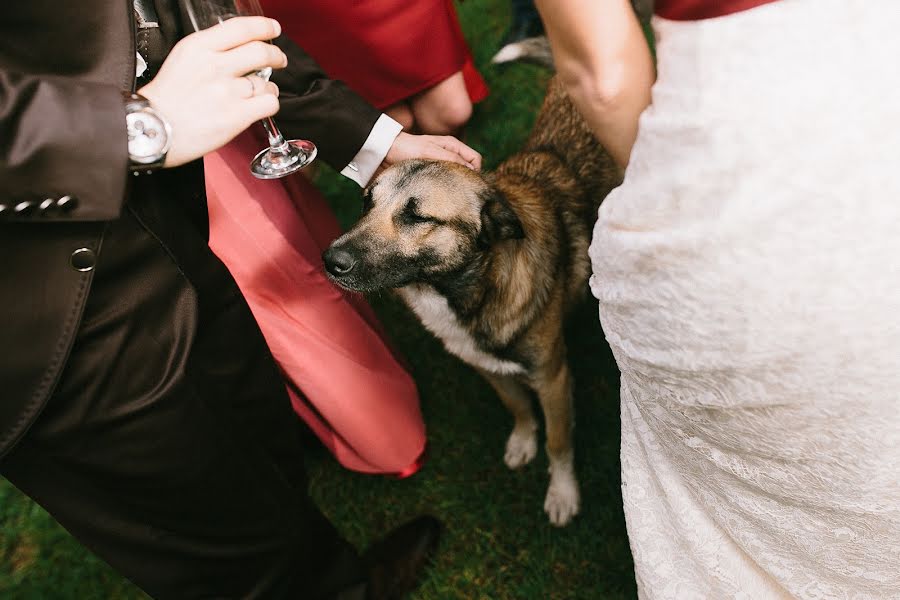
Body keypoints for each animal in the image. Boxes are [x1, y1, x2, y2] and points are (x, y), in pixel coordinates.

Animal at [324, 78, 624, 524]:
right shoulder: (486, 367)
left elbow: (557, 441)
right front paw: (523, 440)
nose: (329, 261)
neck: (470, 288)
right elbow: (518, 408)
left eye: (417, 217)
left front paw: (562, 493)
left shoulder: (552, 377)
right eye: (366, 202)